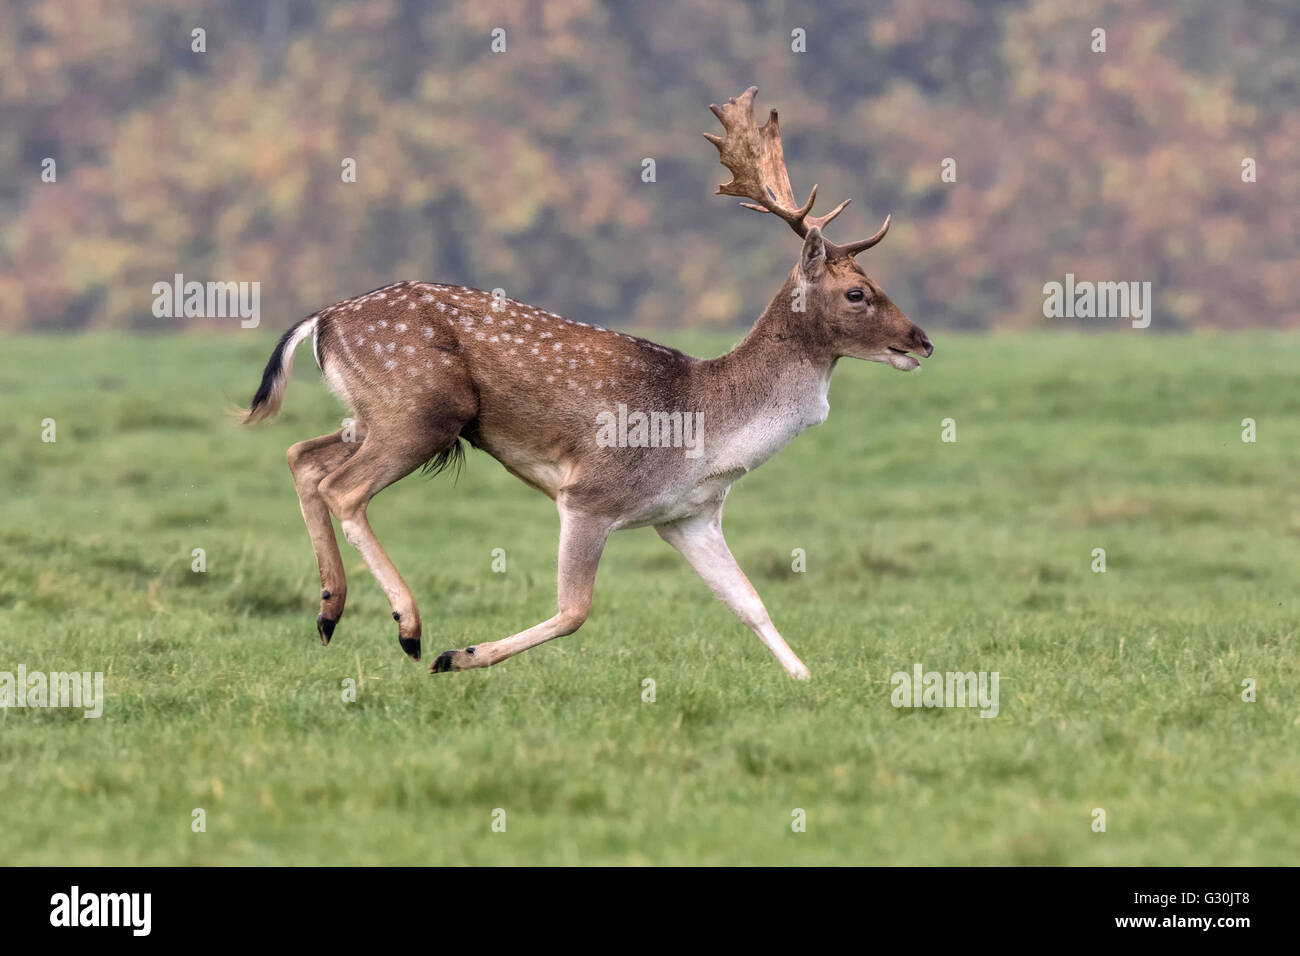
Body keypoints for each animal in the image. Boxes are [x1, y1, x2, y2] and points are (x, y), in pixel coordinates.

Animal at [244, 85, 930, 676]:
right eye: (858, 293)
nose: (921, 341)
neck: (709, 430)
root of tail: (322, 320)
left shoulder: (689, 516)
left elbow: (750, 602)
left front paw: (807, 680)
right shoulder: (590, 493)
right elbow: (575, 610)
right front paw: (458, 656)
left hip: (373, 412)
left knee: (302, 455)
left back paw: (329, 612)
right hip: (422, 409)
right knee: (343, 488)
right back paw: (409, 630)